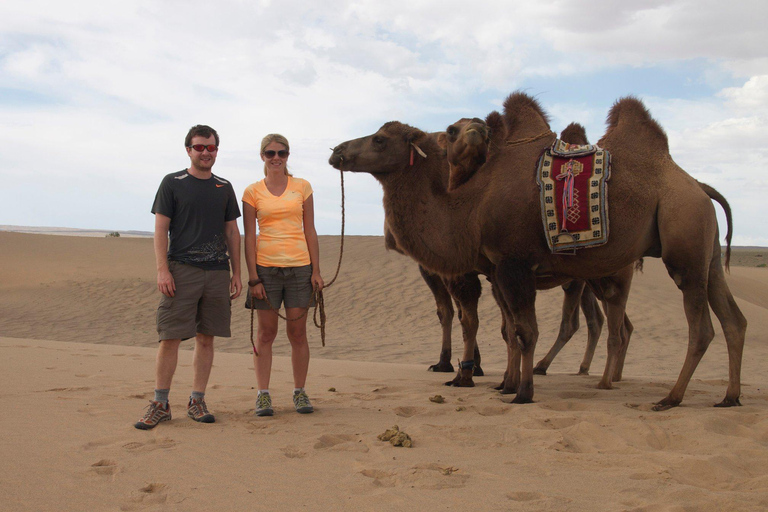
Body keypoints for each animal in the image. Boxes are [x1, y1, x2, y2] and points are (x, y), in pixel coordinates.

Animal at [329, 91, 746, 410]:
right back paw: (729, 397)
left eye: (380, 139)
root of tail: (699, 187)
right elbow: (509, 330)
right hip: (705, 252)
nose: (336, 151)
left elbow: (524, 331)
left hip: (682, 242)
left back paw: (669, 398)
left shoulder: (513, 264)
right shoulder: (497, 269)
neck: (471, 205)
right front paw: (506, 384)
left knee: (698, 328)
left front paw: (522, 392)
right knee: (733, 319)